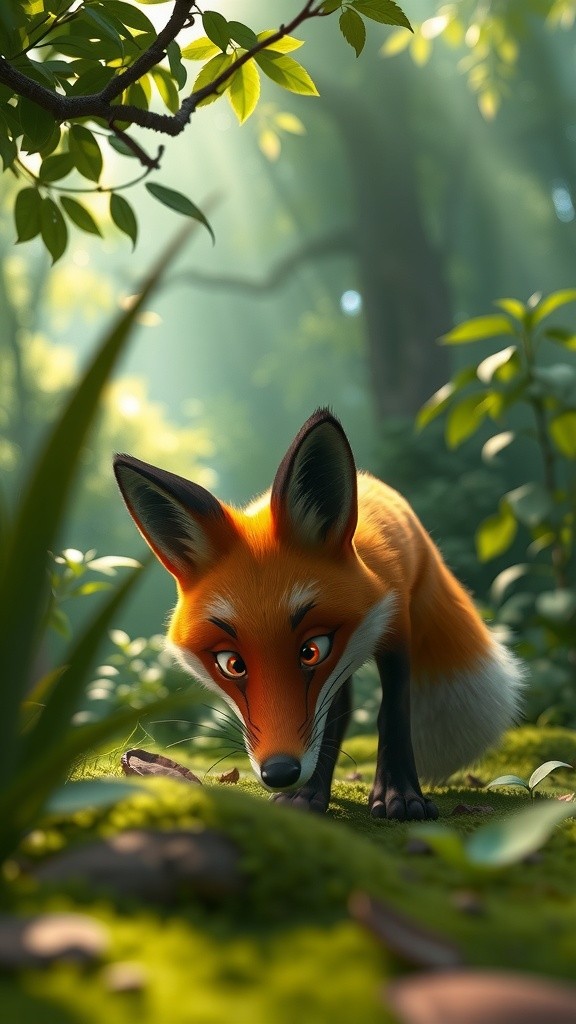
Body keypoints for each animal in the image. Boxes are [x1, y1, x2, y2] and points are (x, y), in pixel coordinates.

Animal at [113, 408, 524, 820]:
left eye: (312, 650)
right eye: (232, 664)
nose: (280, 772)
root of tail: (370, 480)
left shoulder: (394, 630)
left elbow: (393, 714)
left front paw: (400, 796)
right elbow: (331, 720)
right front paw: (307, 794)